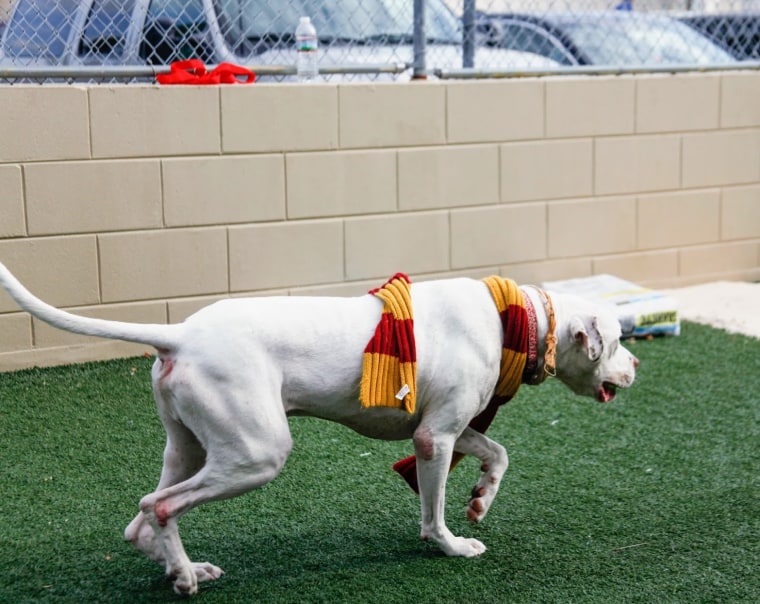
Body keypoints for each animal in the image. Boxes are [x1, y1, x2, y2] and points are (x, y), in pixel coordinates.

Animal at [0, 264, 640, 596]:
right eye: (617, 339)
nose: (637, 365)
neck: (517, 319)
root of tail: (179, 334)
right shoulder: (434, 438)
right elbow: (432, 513)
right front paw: (453, 544)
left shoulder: (447, 427)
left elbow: (499, 452)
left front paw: (480, 499)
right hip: (257, 453)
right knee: (160, 506)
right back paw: (184, 578)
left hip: (191, 446)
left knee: (142, 516)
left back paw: (182, 566)